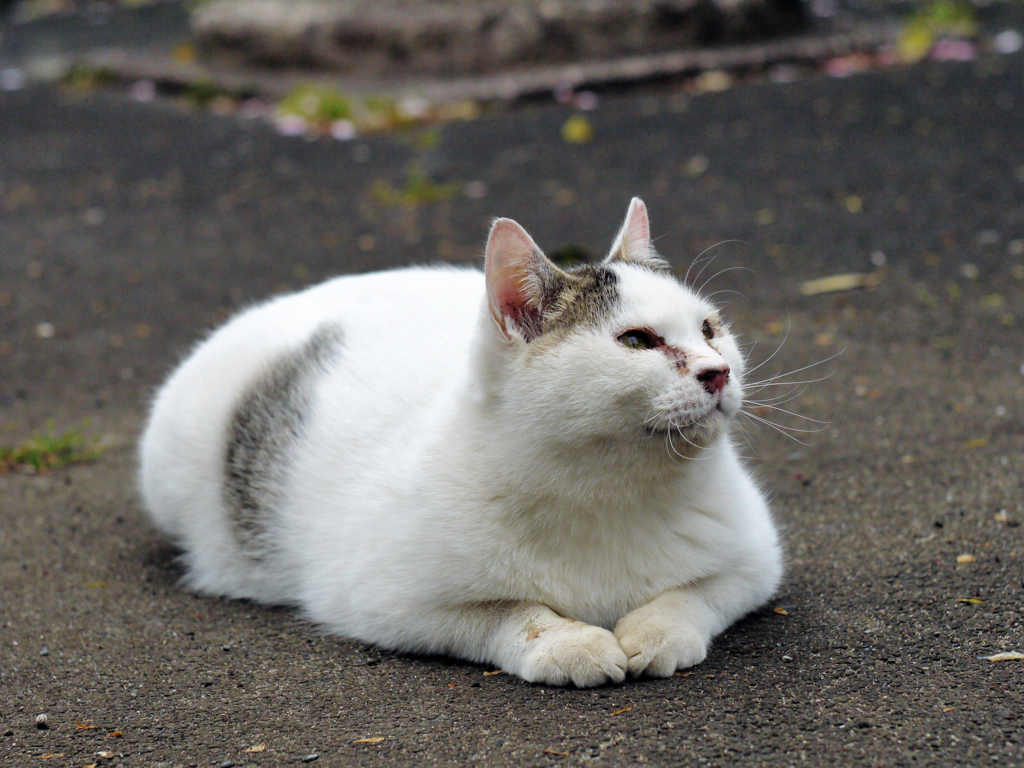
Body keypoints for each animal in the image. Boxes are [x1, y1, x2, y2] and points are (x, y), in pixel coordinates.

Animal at [140, 198, 782, 684]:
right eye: (636, 342)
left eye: (709, 329)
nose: (717, 372)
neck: (610, 490)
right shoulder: (390, 601)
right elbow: (511, 614)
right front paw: (568, 644)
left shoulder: (757, 560)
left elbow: (695, 594)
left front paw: (658, 630)